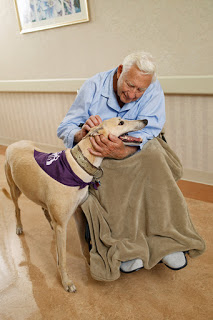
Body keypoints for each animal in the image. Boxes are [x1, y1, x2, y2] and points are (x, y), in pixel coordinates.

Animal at [3, 117, 147, 292]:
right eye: (121, 123)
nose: (145, 120)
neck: (78, 166)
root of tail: (14, 144)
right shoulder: (62, 224)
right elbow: (63, 259)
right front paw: (66, 282)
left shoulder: (79, 213)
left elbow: (84, 245)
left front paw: (90, 263)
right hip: (14, 189)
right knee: (17, 209)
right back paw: (19, 227)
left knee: (44, 208)